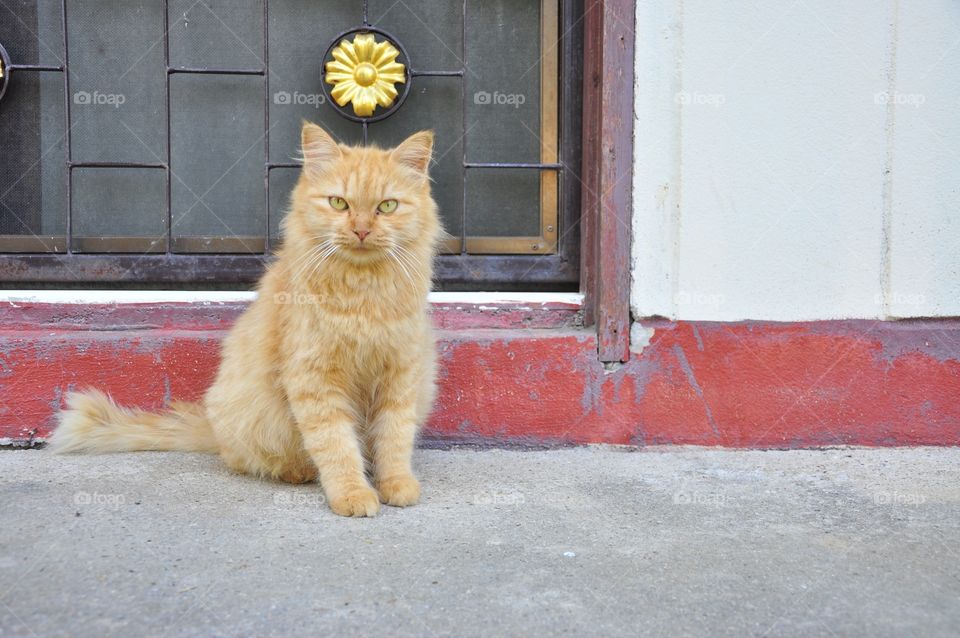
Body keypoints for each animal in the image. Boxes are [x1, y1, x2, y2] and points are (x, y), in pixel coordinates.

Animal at [51, 125, 442, 520]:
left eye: (387, 206)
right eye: (339, 204)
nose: (361, 230)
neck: (363, 293)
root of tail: (212, 426)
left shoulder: (401, 374)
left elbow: (394, 439)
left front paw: (397, 485)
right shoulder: (315, 380)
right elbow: (336, 445)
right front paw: (352, 494)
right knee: (253, 460)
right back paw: (298, 472)